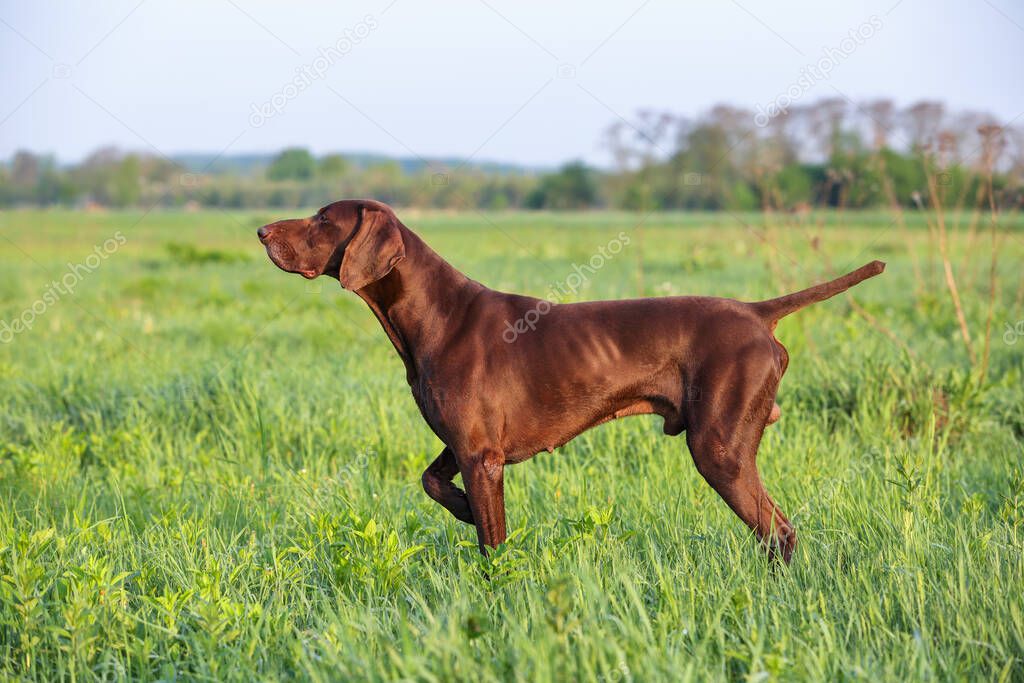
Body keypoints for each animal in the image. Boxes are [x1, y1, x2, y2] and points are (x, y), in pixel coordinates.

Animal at [253, 197, 880, 561]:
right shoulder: (464, 446)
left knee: (779, 532)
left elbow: (492, 545)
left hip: (719, 450)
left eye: (322, 220)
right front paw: (459, 507)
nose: (260, 232)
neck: (434, 314)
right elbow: (431, 482)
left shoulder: (482, 457)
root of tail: (755, 312)